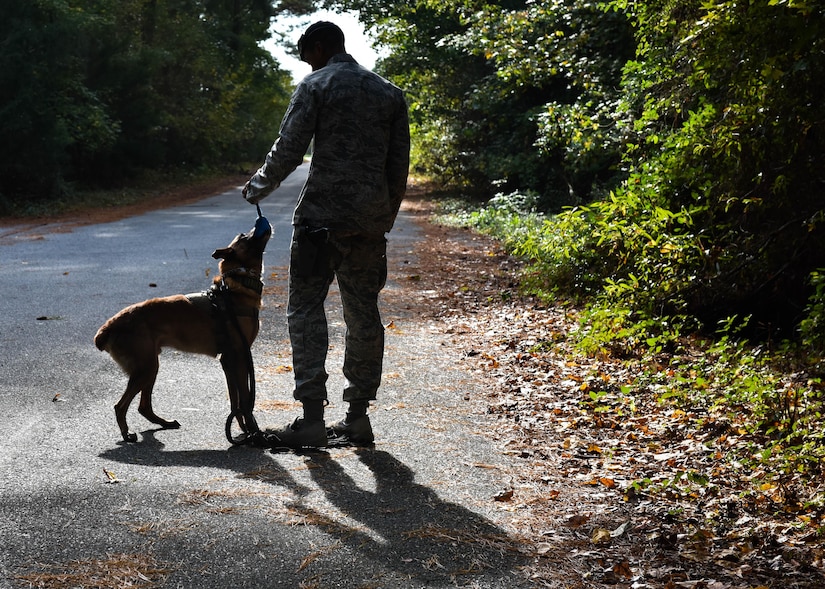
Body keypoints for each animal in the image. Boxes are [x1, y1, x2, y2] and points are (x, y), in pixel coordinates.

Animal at [93, 217, 272, 440]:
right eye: (244, 237)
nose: (259, 220)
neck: (236, 287)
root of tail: (107, 327)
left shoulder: (229, 361)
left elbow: (235, 402)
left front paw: (241, 429)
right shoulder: (239, 358)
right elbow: (245, 400)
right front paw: (253, 432)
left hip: (150, 367)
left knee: (143, 406)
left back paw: (164, 423)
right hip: (145, 368)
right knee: (120, 406)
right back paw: (127, 433)